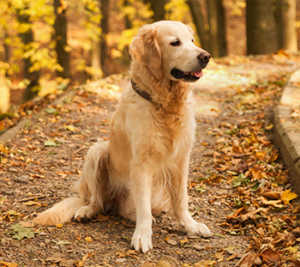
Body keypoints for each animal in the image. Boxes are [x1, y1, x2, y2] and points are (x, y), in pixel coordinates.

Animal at [32, 21, 211, 253]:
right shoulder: (141, 163)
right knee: (97, 201)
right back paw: (86, 211)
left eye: (192, 41)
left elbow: (181, 200)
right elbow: (143, 207)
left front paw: (190, 225)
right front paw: (142, 236)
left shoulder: (181, 159)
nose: (206, 56)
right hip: (97, 151)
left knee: (125, 210)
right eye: (175, 43)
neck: (164, 103)